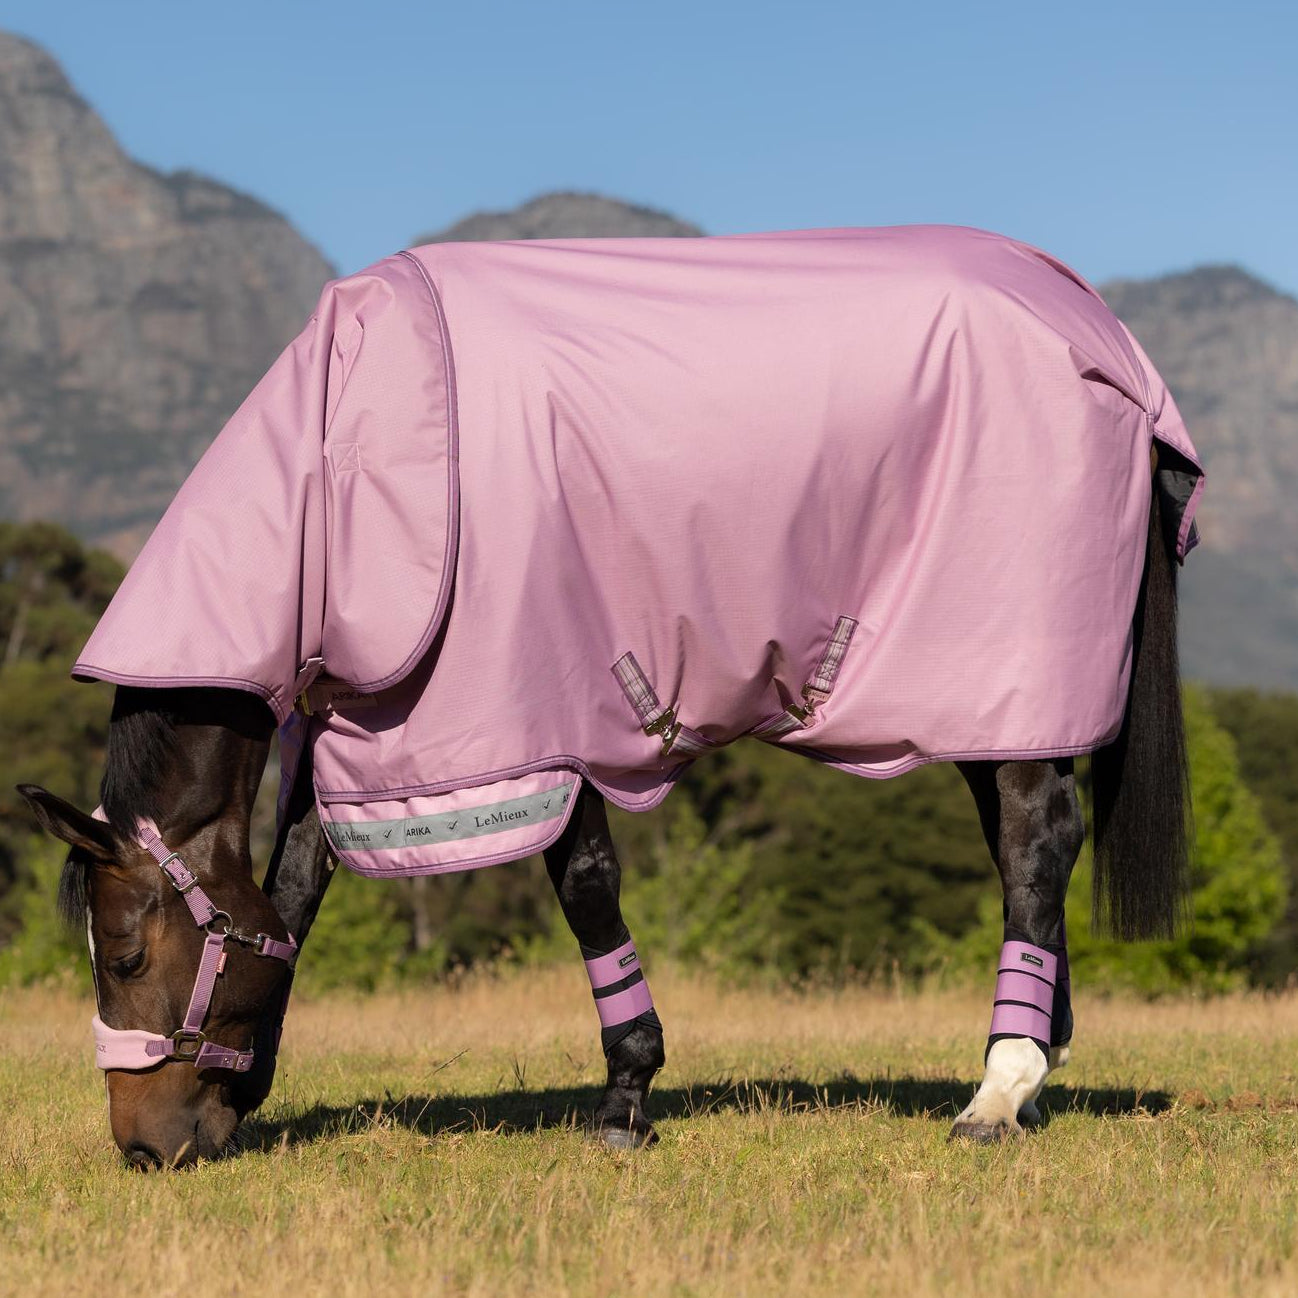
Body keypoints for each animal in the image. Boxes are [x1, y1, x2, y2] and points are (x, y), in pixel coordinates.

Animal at [19, 224, 1201, 1167]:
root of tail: (1110, 346)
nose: (147, 1147)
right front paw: (250, 1085)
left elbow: (584, 886)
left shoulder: (538, 726)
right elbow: (294, 888)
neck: (351, 448)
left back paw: (999, 1089)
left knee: (1038, 837)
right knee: (1019, 845)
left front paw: (627, 1095)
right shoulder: (360, 734)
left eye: (125, 954)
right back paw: (1032, 1060)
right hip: (989, 707)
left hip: (1009, 676)